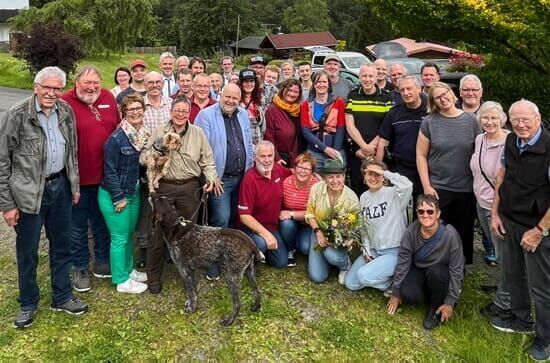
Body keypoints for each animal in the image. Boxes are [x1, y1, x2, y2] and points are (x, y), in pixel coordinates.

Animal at [151, 196, 264, 328]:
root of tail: (251, 243)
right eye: (160, 198)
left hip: (232, 277)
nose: (151, 194)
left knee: (237, 304)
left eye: (155, 201)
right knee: (257, 292)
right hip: (248, 272)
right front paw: (190, 303)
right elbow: (193, 291)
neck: (175, 227)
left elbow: (191, 292)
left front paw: (192, 308)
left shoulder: (183, 270)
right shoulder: (190, 270)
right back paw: (255, 307)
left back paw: (228, 321)